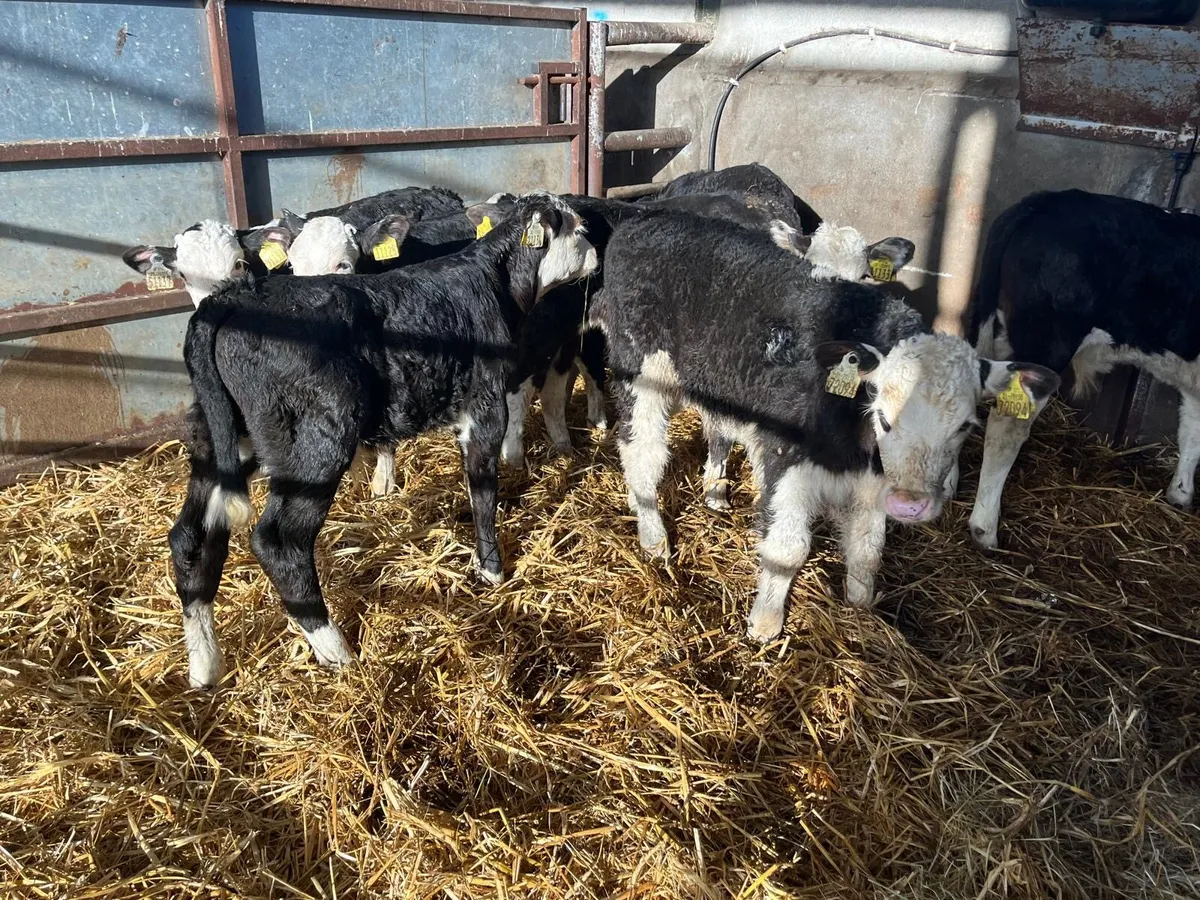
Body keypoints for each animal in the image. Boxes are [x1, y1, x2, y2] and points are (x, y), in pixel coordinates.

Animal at [170, 192, 597, 687]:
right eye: (575, 229)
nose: (595, 252)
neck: (488, 281)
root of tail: (224, 303)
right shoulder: (485, 403)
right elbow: (483, 488)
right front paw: (491, 569)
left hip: (220, 439)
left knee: (190, 537)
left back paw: (205, 665)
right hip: (313, 446)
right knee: (279, 542)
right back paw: (338, 652)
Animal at [591, 209, 1057, 642]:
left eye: (964, 427)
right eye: (883, 417)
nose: (910, 504)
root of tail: (647, 216)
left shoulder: (873, 485)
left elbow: (868, 552)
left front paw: (860, 613)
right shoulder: (785, 461)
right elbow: (787, 550)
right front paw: (764, 625)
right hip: (641, 375)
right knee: (641, 450)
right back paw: (652, 535)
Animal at [964, 189, 1200, 549]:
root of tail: (1045, 200)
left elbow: (1191, 432)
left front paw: (1181, 494)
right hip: (1047, 346)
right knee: (1006, 429)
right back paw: (985, 529)